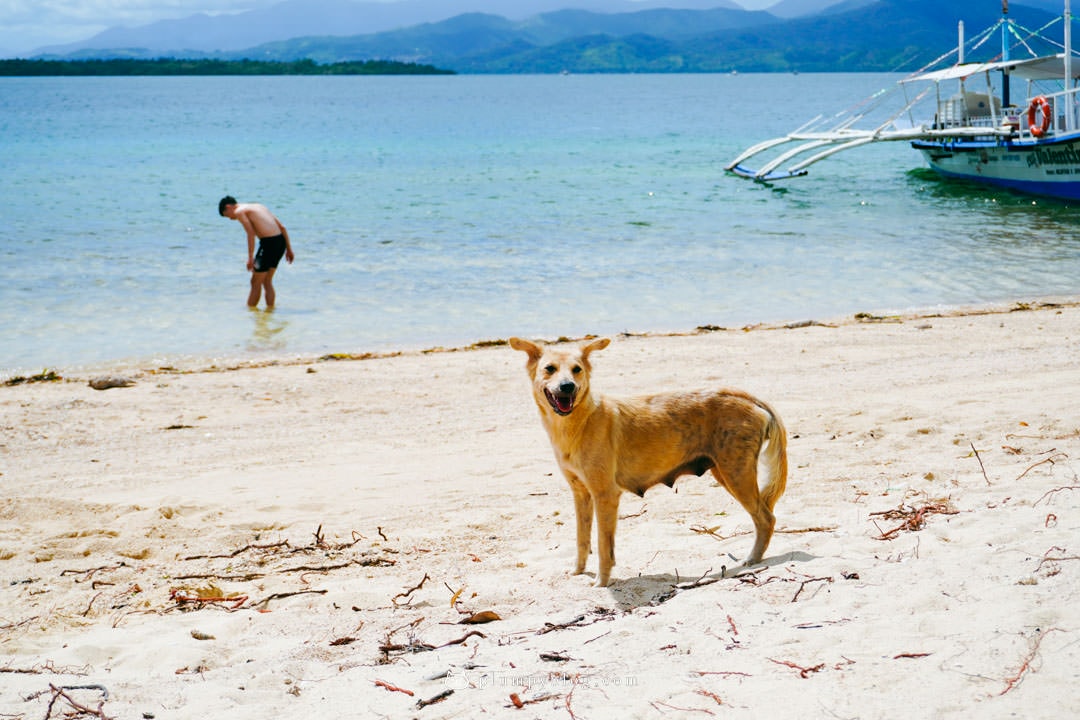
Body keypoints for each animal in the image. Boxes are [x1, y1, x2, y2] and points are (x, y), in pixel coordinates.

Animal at [509, 336, 790, 587]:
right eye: (549, 369)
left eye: (577, 370)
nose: (567, 386)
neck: (578, 423)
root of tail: (745, 396)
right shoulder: (581, 494)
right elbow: (582, 539)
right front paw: (578, 571)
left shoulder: (605, 495)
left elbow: (602, 546)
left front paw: (602, 582)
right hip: (725, 471)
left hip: (736, 474)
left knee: (766, 519)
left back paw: (752, 559)